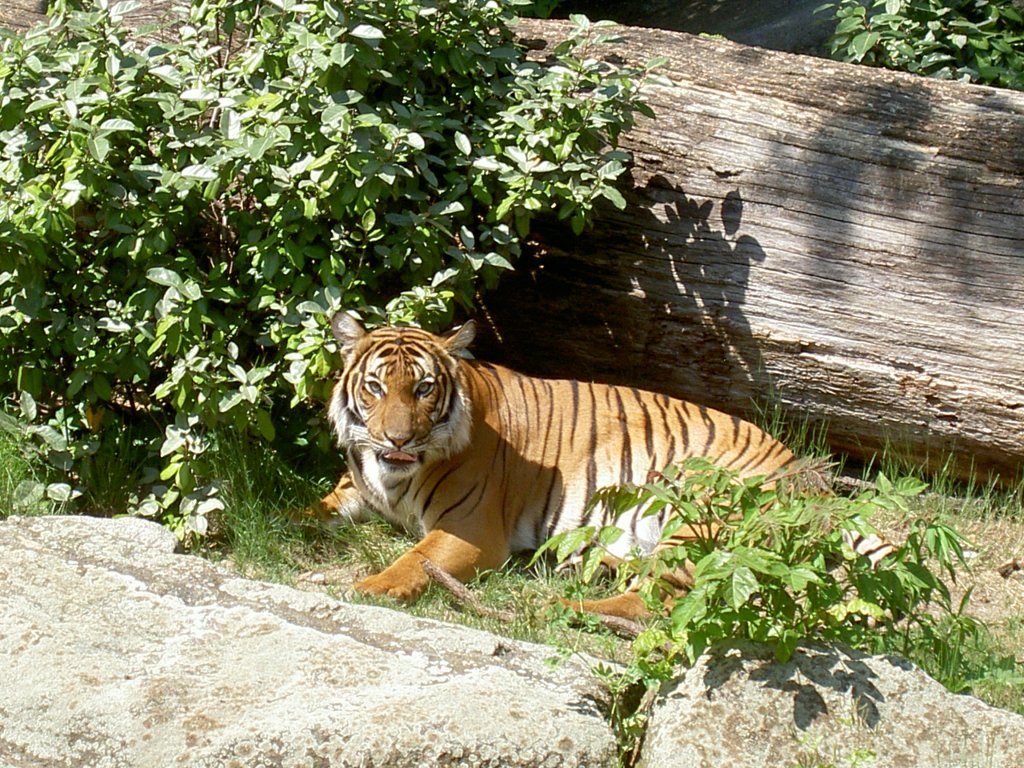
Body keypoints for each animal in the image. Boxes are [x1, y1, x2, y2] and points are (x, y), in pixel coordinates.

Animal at [301, 313, 806, 618]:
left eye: (424, 389)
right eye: (376, 387)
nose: (399, 439)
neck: (391, 476)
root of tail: (805, 476)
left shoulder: (470, 529)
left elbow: (413, 560)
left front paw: (372, 587)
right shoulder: (354, 491)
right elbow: (306, 512)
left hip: (696, 523)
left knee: (656, 602)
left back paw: (560, 604)